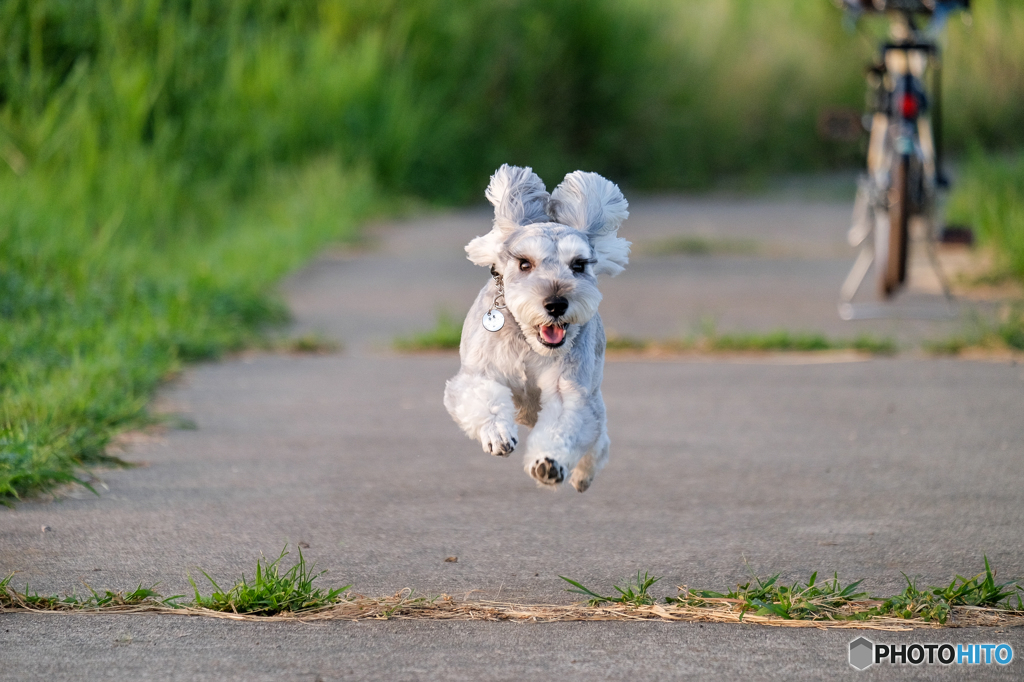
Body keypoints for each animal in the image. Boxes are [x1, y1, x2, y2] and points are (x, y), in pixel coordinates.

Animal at [444, 166, 626, 491]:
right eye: (525, 263)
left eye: (578, 265)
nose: (556, 304)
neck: (529, 344)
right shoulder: (478, 375)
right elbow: (485, 400)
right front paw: (498, 434)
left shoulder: (569, 392)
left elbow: (563, 425)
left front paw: (549, 464)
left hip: (592, 397)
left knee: (598, 435)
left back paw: (583, 473)